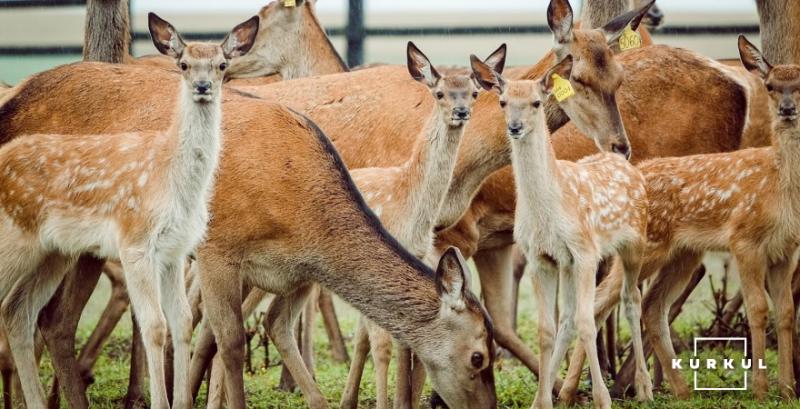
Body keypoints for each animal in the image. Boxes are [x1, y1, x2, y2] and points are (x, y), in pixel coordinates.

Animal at [0, 12, 256, 408]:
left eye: (221, 65)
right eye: (183, 64)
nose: (202, 87)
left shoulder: (174, 250)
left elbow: (181, 322)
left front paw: (180, 401)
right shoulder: (135, 242)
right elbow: (154, 325)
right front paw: (157, 401)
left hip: (52, 252)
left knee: (17, 311)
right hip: (15, 240)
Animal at [476, 51, 648, 408]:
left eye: (537, 102)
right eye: (502, 101)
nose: (515, 127)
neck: (548, 210)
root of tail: (628, 164)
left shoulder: (585, 252)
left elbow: (587, 322)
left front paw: (602, 399)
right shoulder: (540, 257)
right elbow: (547, 329)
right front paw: (541, 401)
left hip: (634, 242)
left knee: (631, 298)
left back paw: (644, 386)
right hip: (568, 265)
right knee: (567, 318)